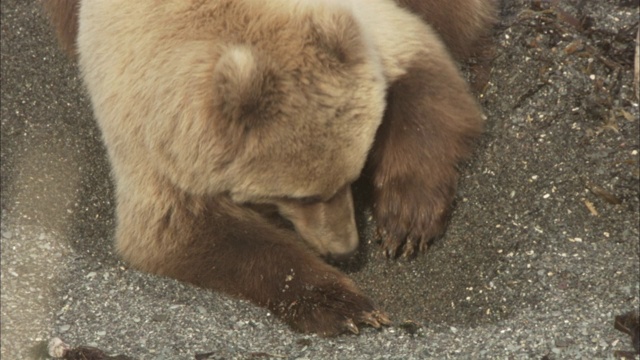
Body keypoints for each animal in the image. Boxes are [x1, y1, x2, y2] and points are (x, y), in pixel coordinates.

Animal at [43, 0, 496, 338]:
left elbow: (425, 77)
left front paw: (405, 221)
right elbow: (185, 233)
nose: (345, 250)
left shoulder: (366, 33)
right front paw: (344, 306)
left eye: (352, 176)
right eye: (299, 195)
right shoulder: (152, 144)